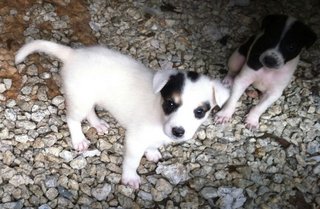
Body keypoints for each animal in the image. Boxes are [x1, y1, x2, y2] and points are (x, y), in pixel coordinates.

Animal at [15, 39, 230, 189]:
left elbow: (152, 145)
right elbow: (132, 161)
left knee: (90, 111)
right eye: (170, 103)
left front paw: (152, 152)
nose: (178, 132)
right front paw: (130, 178)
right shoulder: (135, 139)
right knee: (73, 119)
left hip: (89, 96)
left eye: (199, 111)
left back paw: (98, 123)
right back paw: (79, 139)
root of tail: (73, 54)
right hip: (80, 98)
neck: (158, 111)